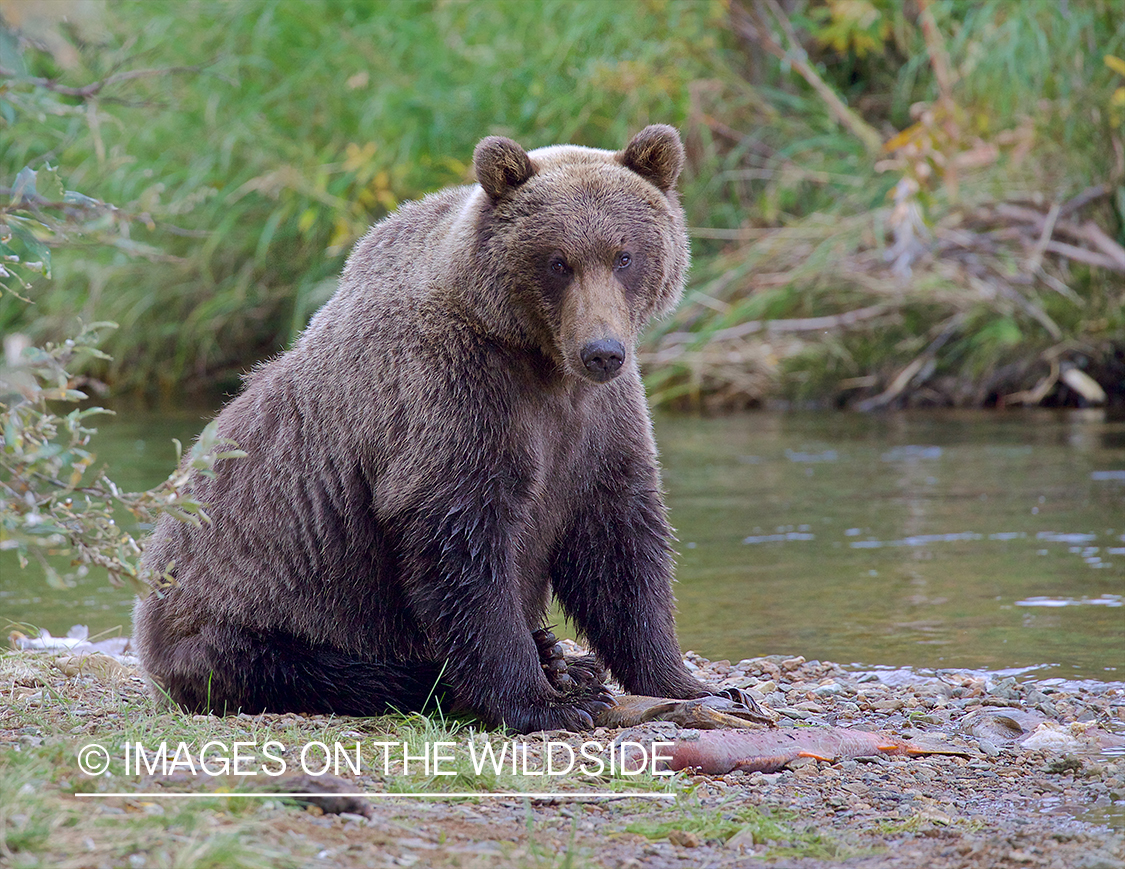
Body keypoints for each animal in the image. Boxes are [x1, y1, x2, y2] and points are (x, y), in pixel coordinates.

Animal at [133, 123, 720, 733]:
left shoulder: (599, 422)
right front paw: (545, 702)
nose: (601, 351)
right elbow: (463, 549)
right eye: (558, 261)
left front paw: (692, 684)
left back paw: (562, 659)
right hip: (244, 610)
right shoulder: (451, 399)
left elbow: (619, 546)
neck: (540, 362)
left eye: (624, 255)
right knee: (314, 666)